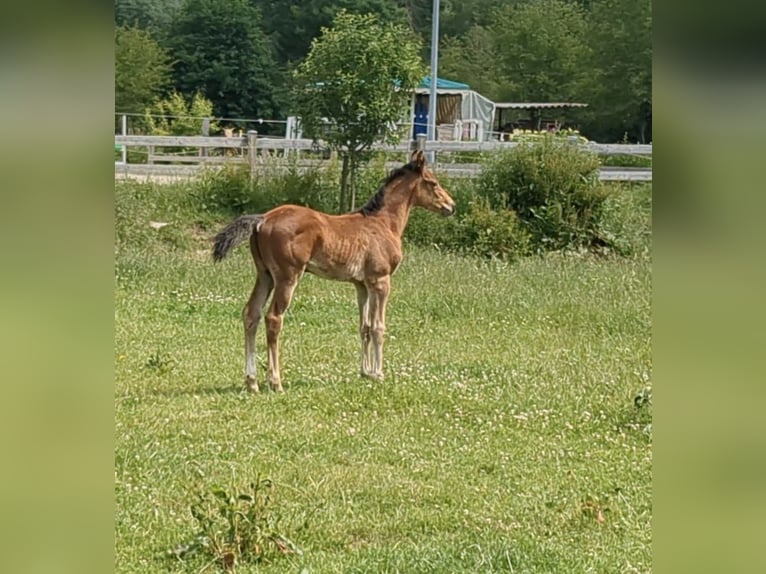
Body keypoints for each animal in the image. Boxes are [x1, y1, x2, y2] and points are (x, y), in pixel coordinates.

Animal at [212, 149, 456, 393]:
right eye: (433, 182)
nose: (451, 206)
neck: (383, 223)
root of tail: (263, 219)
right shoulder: (380, 280)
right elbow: (378, 327)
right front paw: (379, 374)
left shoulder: (362, 284)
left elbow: (365, 327)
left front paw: (366, 373)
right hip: (287, 277)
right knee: (273, 318)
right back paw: (275, 382)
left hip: (265, 275)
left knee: (251, 314)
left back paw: (252, 382)